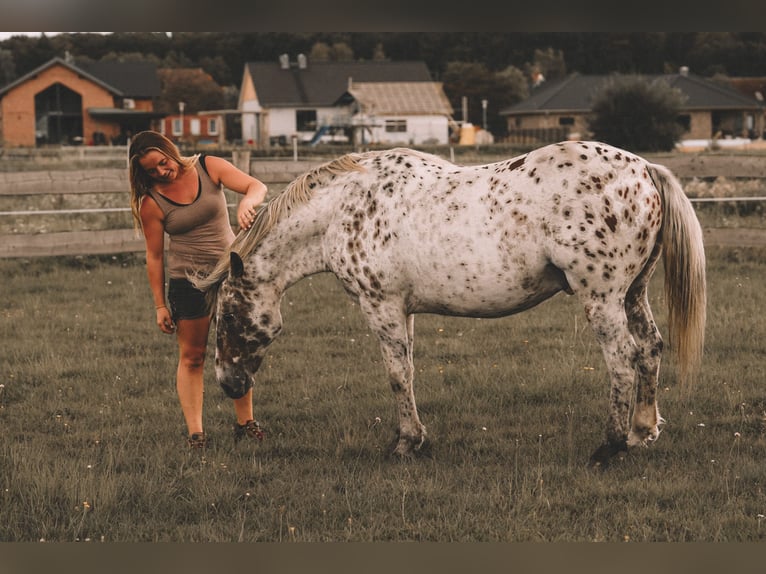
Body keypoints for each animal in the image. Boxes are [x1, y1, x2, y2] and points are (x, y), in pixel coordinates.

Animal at [196, 142, 708, 470]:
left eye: (227, 315)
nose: (226, 383)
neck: (341, 209)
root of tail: (643, 169)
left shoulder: (381, 306)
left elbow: (397, 374)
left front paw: (406, 443)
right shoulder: (403, 310)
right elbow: (408, 372)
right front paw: (413, 437)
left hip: (602, 298)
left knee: (622, 360)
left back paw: (610, 446)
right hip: (632, 293)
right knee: (650, 349)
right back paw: (642, 432)